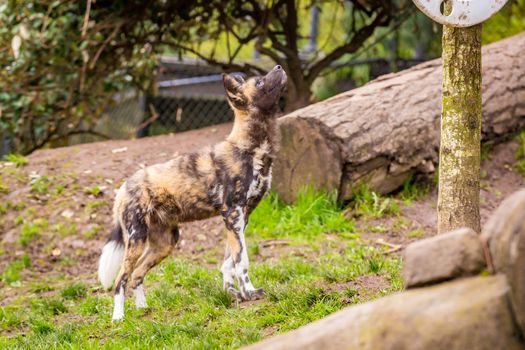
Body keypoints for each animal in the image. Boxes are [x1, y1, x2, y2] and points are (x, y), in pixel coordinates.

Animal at [98, 63, 286, 320]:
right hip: (136, 239)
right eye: (258, 82)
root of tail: (124, 186)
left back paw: (142, 308)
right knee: (120, 279)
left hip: (165, 243)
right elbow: (242, 260)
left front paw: (232, 292)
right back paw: (119, 318)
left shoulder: (241, 218)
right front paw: (249, 292)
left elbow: (229, 261)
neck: (251, 149)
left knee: (136, 274)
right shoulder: (233, 216)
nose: (278, 66)